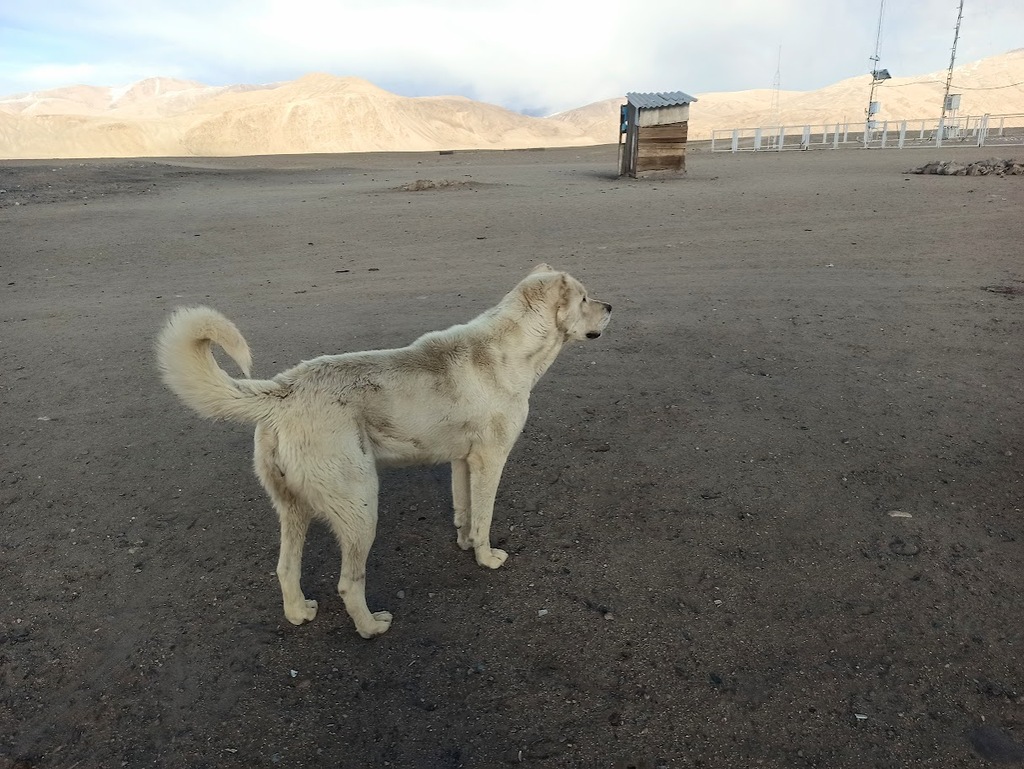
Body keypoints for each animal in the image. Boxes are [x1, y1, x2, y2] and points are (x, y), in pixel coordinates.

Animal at [156, 264, 611, 638]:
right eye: (585, 298)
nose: (611, 306)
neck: (511, 349)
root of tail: (284, 390)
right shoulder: (490, 460)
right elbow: (483, 518)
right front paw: (486, 558)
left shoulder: (462, 462)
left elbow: (464, 511)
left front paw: (465, 544)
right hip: (361, 507)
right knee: (347, 583)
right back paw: (371, 627)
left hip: (295, 507)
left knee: (285, 568)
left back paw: (299, 612)